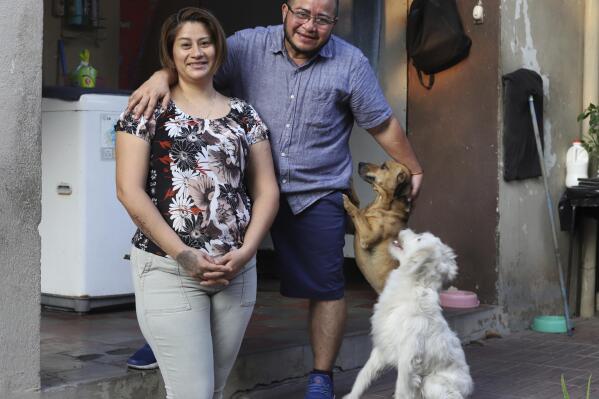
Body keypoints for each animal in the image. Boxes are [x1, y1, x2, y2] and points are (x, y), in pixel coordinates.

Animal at [342, 160, 412, 294]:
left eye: (384, 166)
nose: (360, 163)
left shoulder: (366, 237)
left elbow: (357, 211)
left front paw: (347, 202)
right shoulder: (352, 228)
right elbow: (358, 207)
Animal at [344, 230, 476, 398]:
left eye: (419, 239)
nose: (402, 230)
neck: (414, 285)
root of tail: (469, 387)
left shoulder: (408, 357)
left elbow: (402, 388)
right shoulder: (382, 348)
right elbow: (364, 375)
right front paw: (351, 395)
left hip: (433, 383)